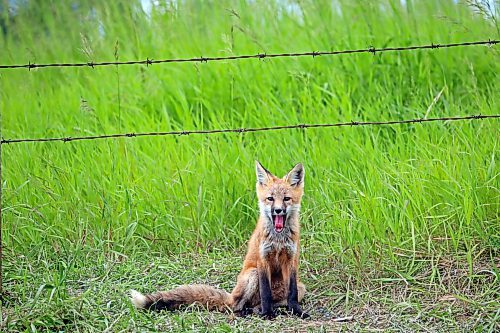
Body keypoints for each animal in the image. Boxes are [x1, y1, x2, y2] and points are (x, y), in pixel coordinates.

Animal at [130, 162, 308, 318]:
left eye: (286, 199)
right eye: (270, 199)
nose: (278, 210)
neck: (278, 239)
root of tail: (232, 295)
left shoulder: (291, 260)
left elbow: (292, 294)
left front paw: (296, 312)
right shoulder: (262, 259)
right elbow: (266, 293)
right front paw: (267, 314)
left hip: (301, 288)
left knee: (260, 303)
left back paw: (261, 310)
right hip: (252, 274)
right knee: (236, 305)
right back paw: (247, 312)